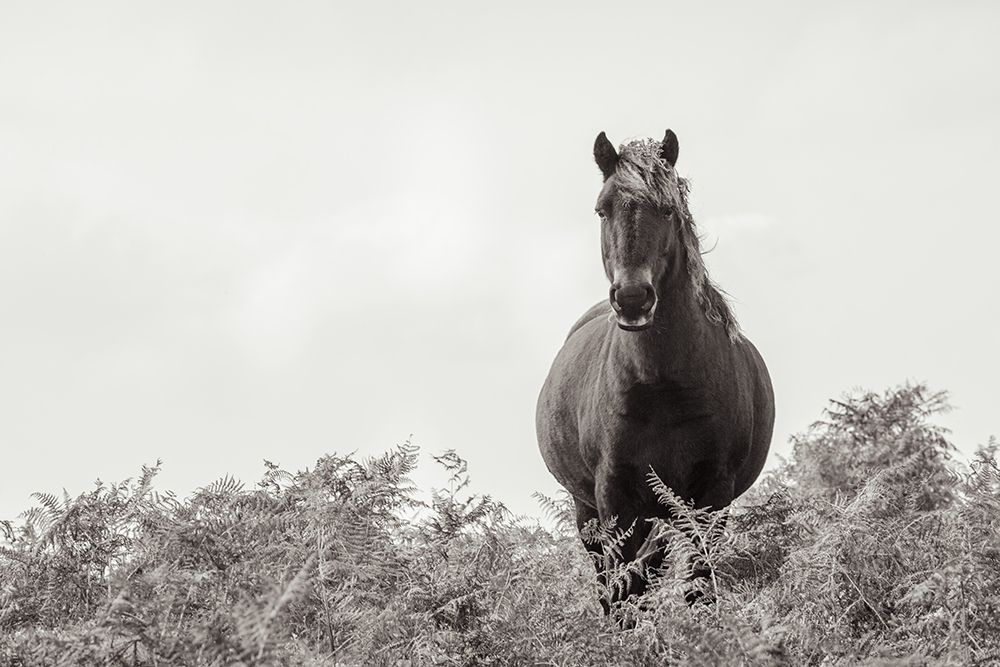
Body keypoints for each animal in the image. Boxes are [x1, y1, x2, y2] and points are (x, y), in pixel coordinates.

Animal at [536, 129, 774, 612]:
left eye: (667, 209)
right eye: (602, 208)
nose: (632, 298)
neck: (662, 385)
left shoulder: (711, 494)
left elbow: (698, 583)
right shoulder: (613, 497)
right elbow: (624, 589)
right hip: (590, 512)